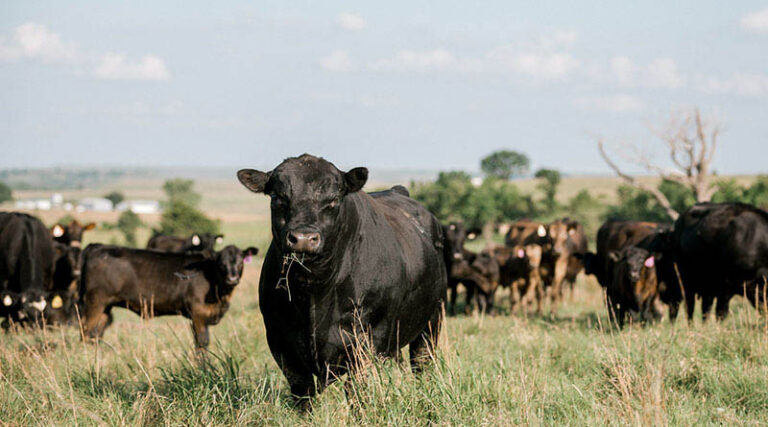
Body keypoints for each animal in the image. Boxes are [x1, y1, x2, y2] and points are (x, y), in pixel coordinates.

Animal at [79, 244, 257, 349]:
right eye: (221, 263)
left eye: (241, 261)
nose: (232, 278)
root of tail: (98, 246)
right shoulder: (198, 313)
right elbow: (202, 343)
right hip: (95, 302)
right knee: (85, 331)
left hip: (105, 307)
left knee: (95, 334)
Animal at [237, 154, 447, 409]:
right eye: (278, 197)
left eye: (334, 200)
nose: (304, 238)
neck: (314, 291)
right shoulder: (280, 340)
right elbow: (303, 392)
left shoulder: (368, 338)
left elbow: (357, 390)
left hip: (431, 321)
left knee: (422, 363)